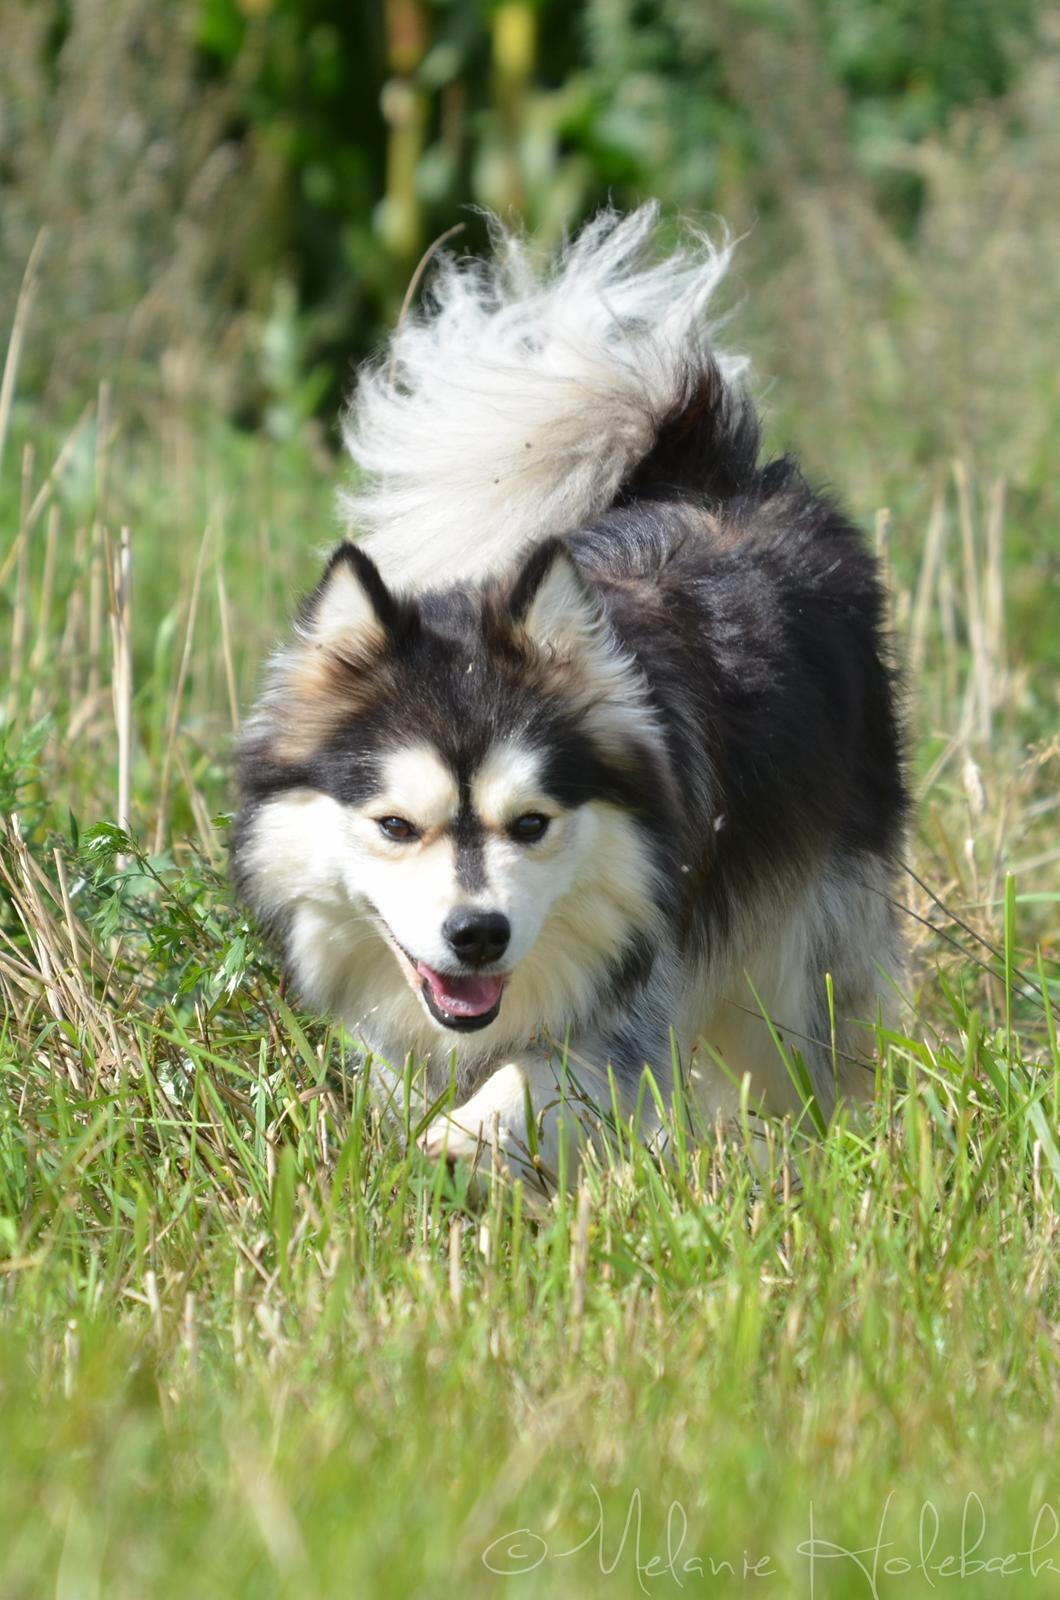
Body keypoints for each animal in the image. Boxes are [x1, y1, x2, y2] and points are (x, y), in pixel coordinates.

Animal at [236, 206, 909, 1190]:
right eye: (396, 826)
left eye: (532, 824)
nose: (477, 935)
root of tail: (709, 476)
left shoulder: (637, 980)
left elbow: (534, 1082)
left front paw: (458, 1145)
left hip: (801, 946)